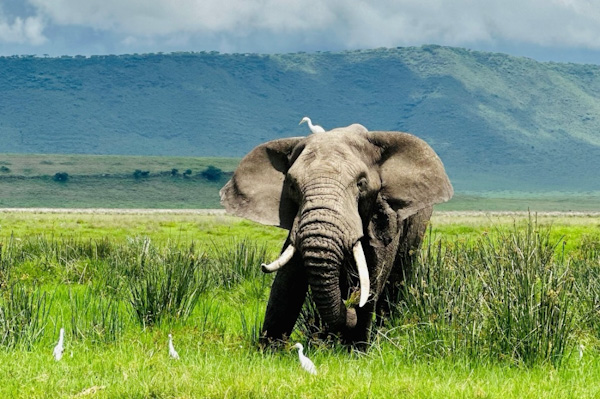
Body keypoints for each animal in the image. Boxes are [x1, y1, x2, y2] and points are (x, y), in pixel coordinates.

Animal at [219, 123, 450, 346]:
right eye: (292, 186)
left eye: (361, 184)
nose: (350, 305)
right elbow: (286, 283)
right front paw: (268, 351)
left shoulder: (382, 217)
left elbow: (373, 277)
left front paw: (357, 351)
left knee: (396, 283)